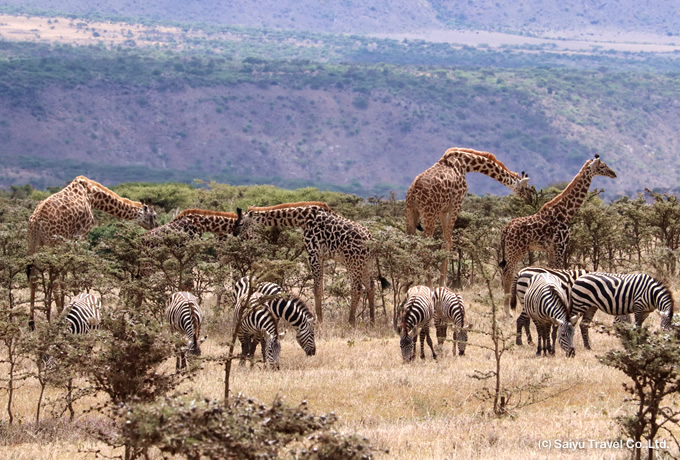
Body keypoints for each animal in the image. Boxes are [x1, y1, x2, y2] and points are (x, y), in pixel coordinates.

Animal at [26, 173, 158, 328]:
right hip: (53, 244)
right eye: (154, 215)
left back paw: (32, 322)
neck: (92, 195)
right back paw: (57, 314)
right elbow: (74, 272)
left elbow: (66, 274)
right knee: (54, 279)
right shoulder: (82, 235)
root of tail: (37, 222)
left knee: (34, 279)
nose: (156, 226)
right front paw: (76, 299)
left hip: (34, 245)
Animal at [234, 202, 386, 328]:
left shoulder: (314, 254)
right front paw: (320, 319)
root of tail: (372, 240)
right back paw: (372, 322)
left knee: (357, 289)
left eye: (240, 223)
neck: (303, 219)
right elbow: (320, 288)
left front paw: (319, 321)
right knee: (371, 286)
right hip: (366, 264)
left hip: (353, 262)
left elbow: (317, 289)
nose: (235, 235)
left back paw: (351, 322)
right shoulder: (321, 257)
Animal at [404, 147, 532, 286]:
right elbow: (448, 241)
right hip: (429, 215)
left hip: (411, 213)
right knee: (425, 245)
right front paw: (443, 282)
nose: (530, 199)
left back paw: (407, 283)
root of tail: (413, 192)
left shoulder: (443, 210)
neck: (465, 164)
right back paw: (428, 284)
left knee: (410, 243)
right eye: (526, 188)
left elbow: (445, 240)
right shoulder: (456, 203)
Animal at [496, 155, 620, 316]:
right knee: (507, 273)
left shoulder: (551, 249)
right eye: (603, 166)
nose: (613, 173)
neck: (565, 213)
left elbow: (552, 271)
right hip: (516, 250)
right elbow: (561, 272)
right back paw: (507, 312)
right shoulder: (561, 246)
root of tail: (506, 229)